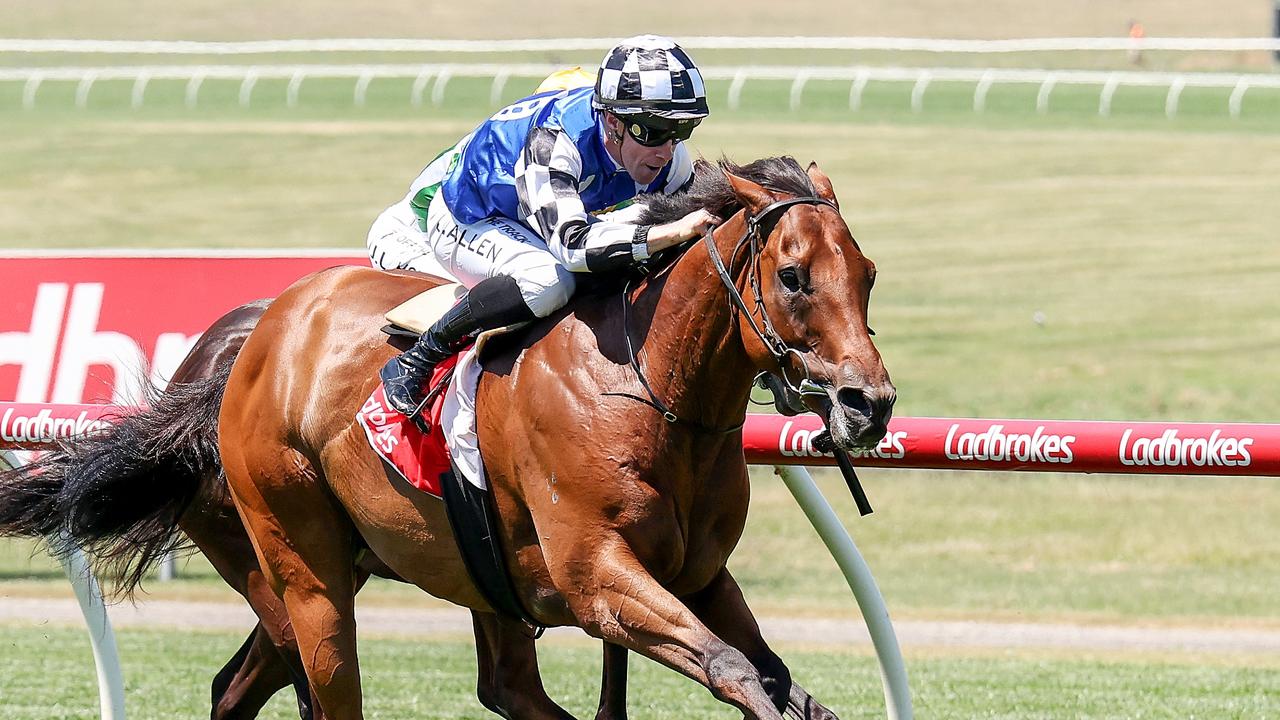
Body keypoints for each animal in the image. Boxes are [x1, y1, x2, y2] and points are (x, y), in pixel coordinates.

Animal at [220, 154, 896, 712]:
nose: (869, 404)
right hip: (305, 570)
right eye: (792, 276)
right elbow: (732, 667)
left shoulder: (699, 577)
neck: (647, 389)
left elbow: (778, 678)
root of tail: (271, 323)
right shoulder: (596, 578)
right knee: (331, 676)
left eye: (868, 273)